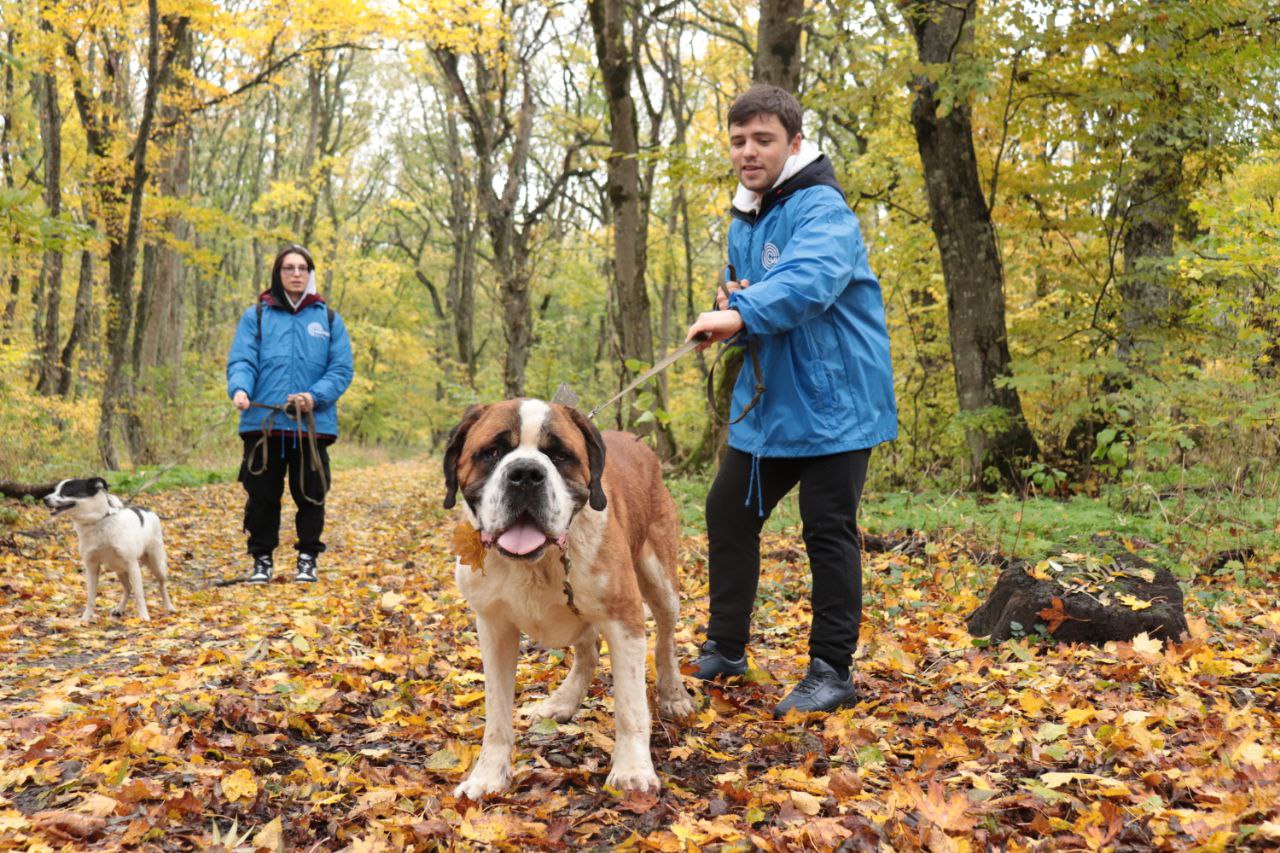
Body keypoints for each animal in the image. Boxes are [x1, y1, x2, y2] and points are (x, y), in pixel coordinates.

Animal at [44, 473, 174, 622]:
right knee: (128, 588)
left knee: (161, 584)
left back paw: (169, 607)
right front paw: (85, 619)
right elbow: (91, 597)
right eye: (54, 490)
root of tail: (148, 510)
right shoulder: (92, 566)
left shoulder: (132, 565)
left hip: (156, 563)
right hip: (118, 567)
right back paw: (119, 609)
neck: (98, 521)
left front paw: (144, 617)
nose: (44, 499)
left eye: (67, 491)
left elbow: (139, 595)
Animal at [445, 399, 696, 799]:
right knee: (588, 651)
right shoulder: (494, 629)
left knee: (666, 641)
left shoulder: (624, 619)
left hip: (662, 581)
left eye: (560, 456)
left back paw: (673, 694)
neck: (538, 563)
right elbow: (496, 713)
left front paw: (632, 769)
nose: (526, 473)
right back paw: (563, 701)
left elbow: (630, 706)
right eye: (492, 452)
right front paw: (488, 775)